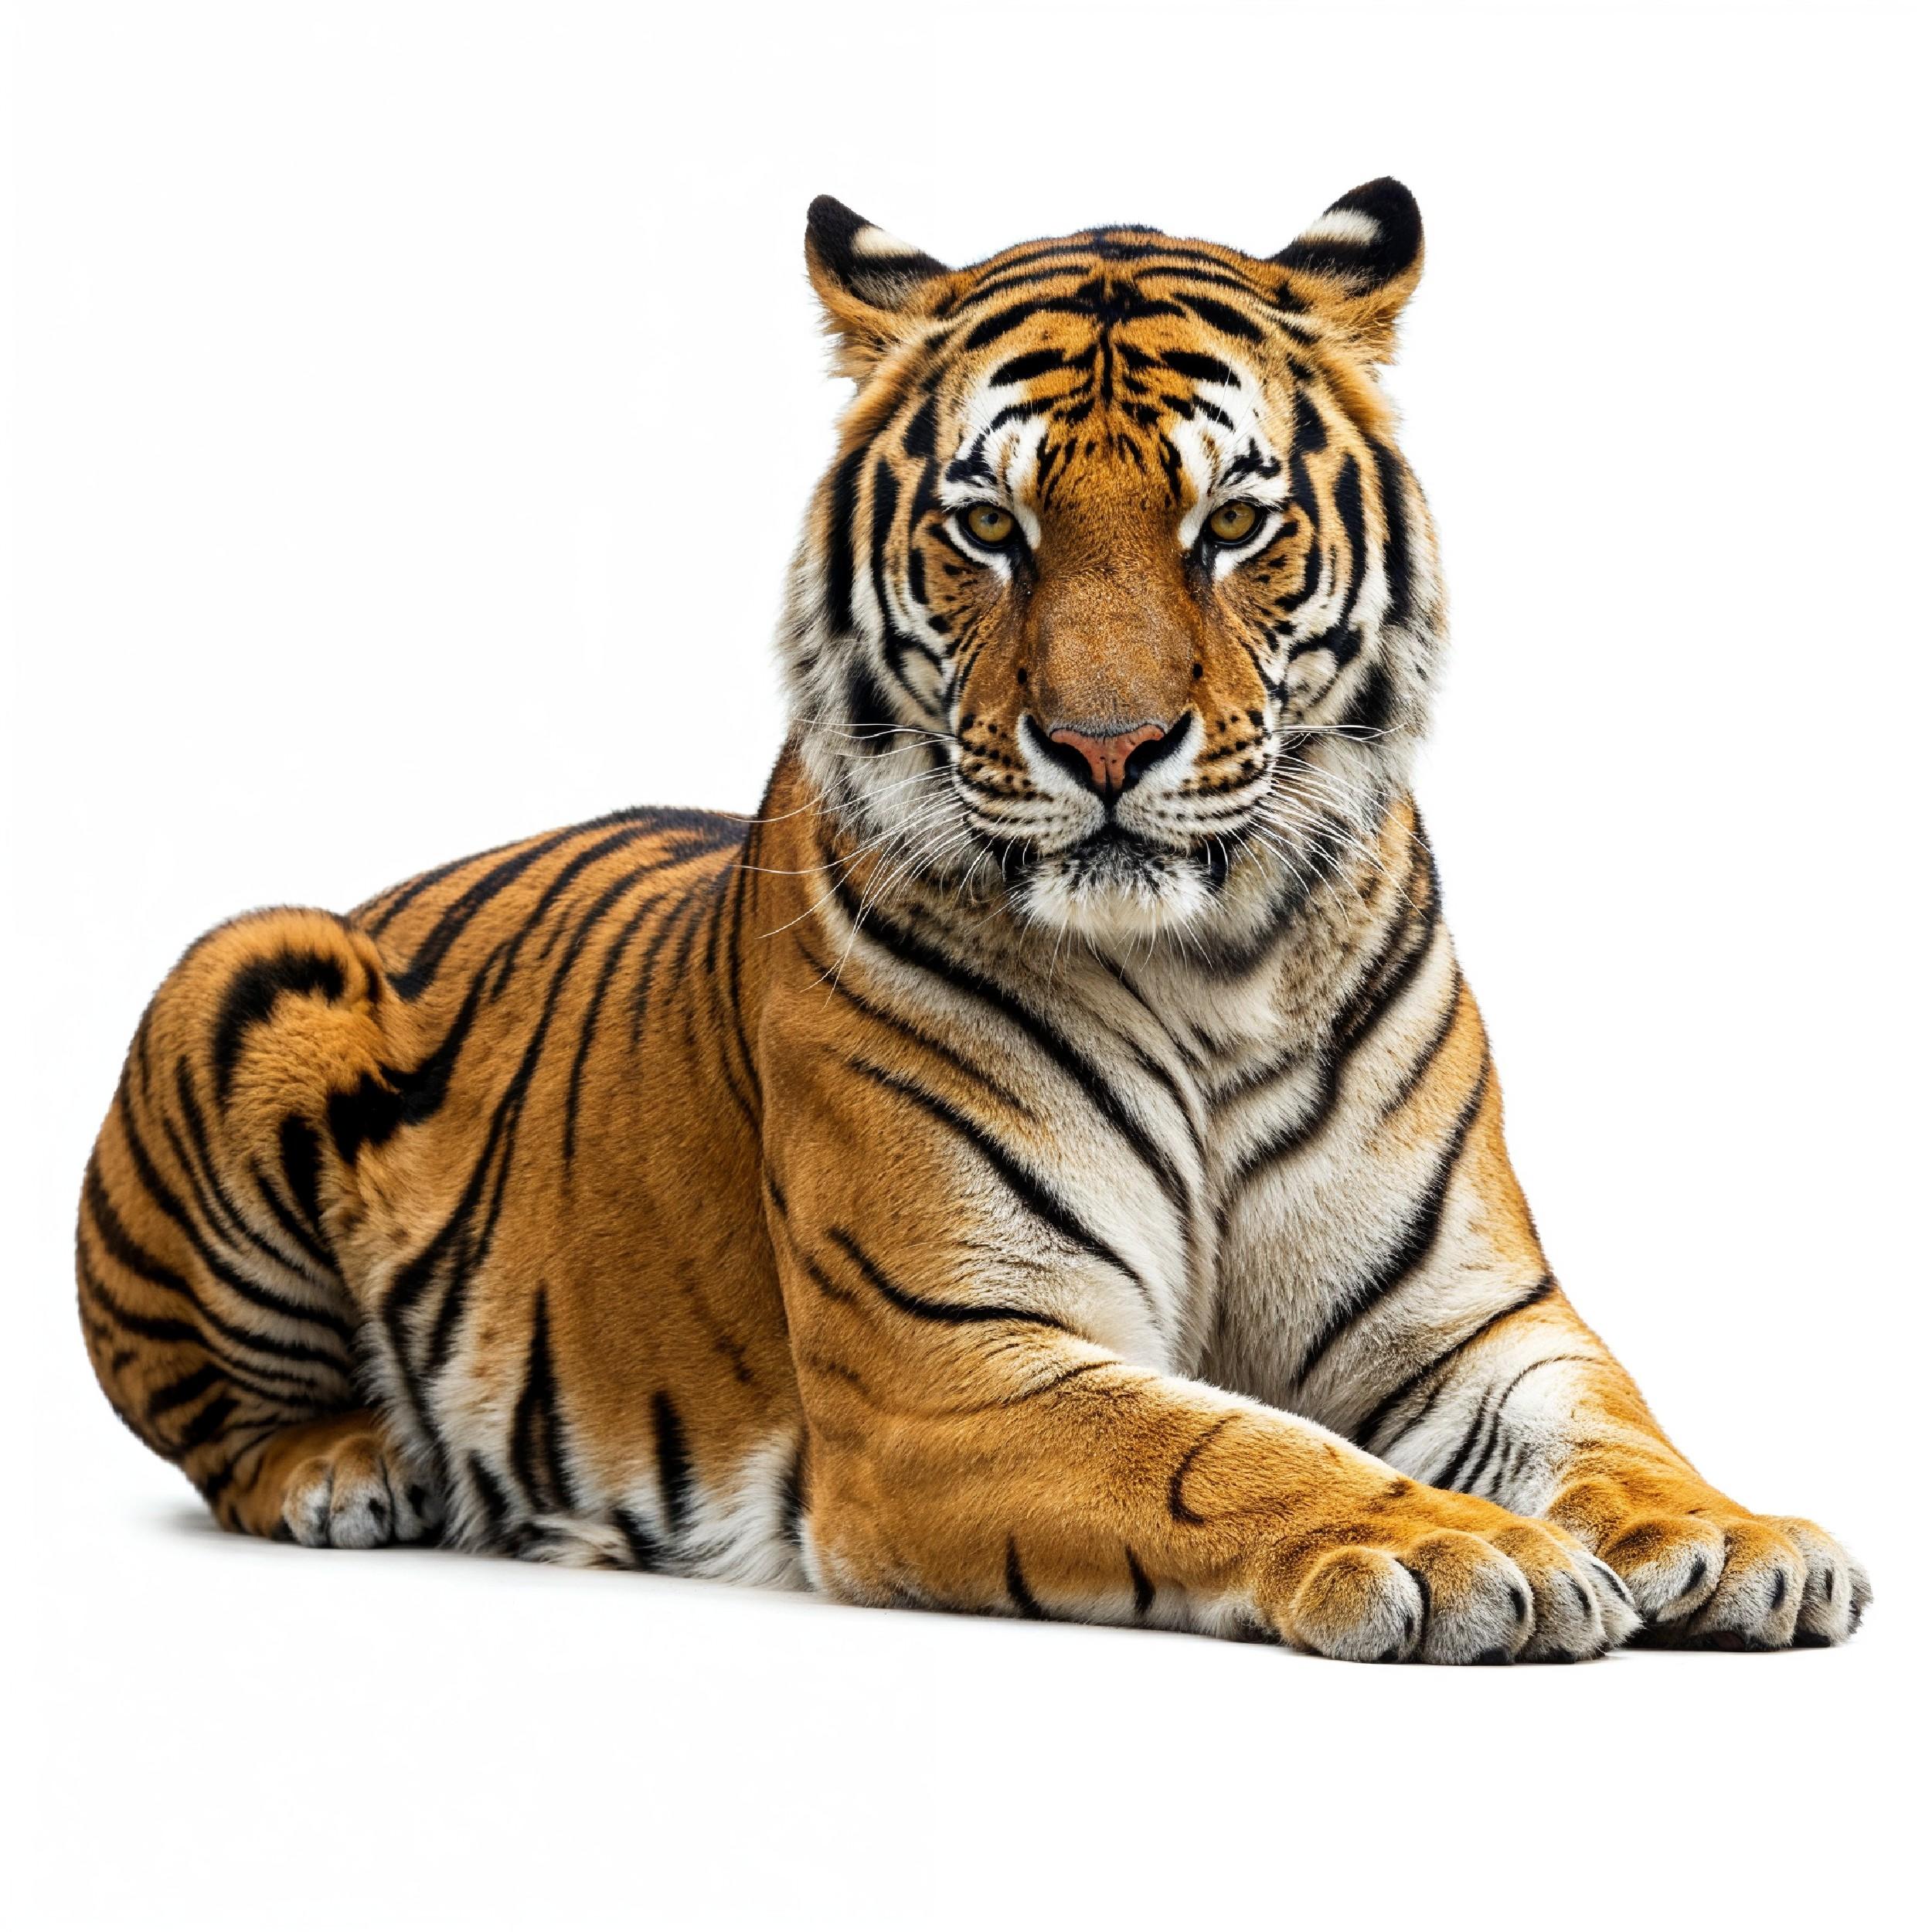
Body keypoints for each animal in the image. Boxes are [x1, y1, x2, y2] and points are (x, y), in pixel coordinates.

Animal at [76, 179, 1868, 1662]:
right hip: (248, 968)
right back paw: (349, 1468)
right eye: (987, 528)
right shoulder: (955, 1363)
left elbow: (1609, 1426)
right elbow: (1225, 1448)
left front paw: (1736, 1540)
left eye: (1233, 523)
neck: (1212, 965)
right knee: (213, 1417)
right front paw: (1456, 1551)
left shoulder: (1468, 1321)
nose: (1105, 747)